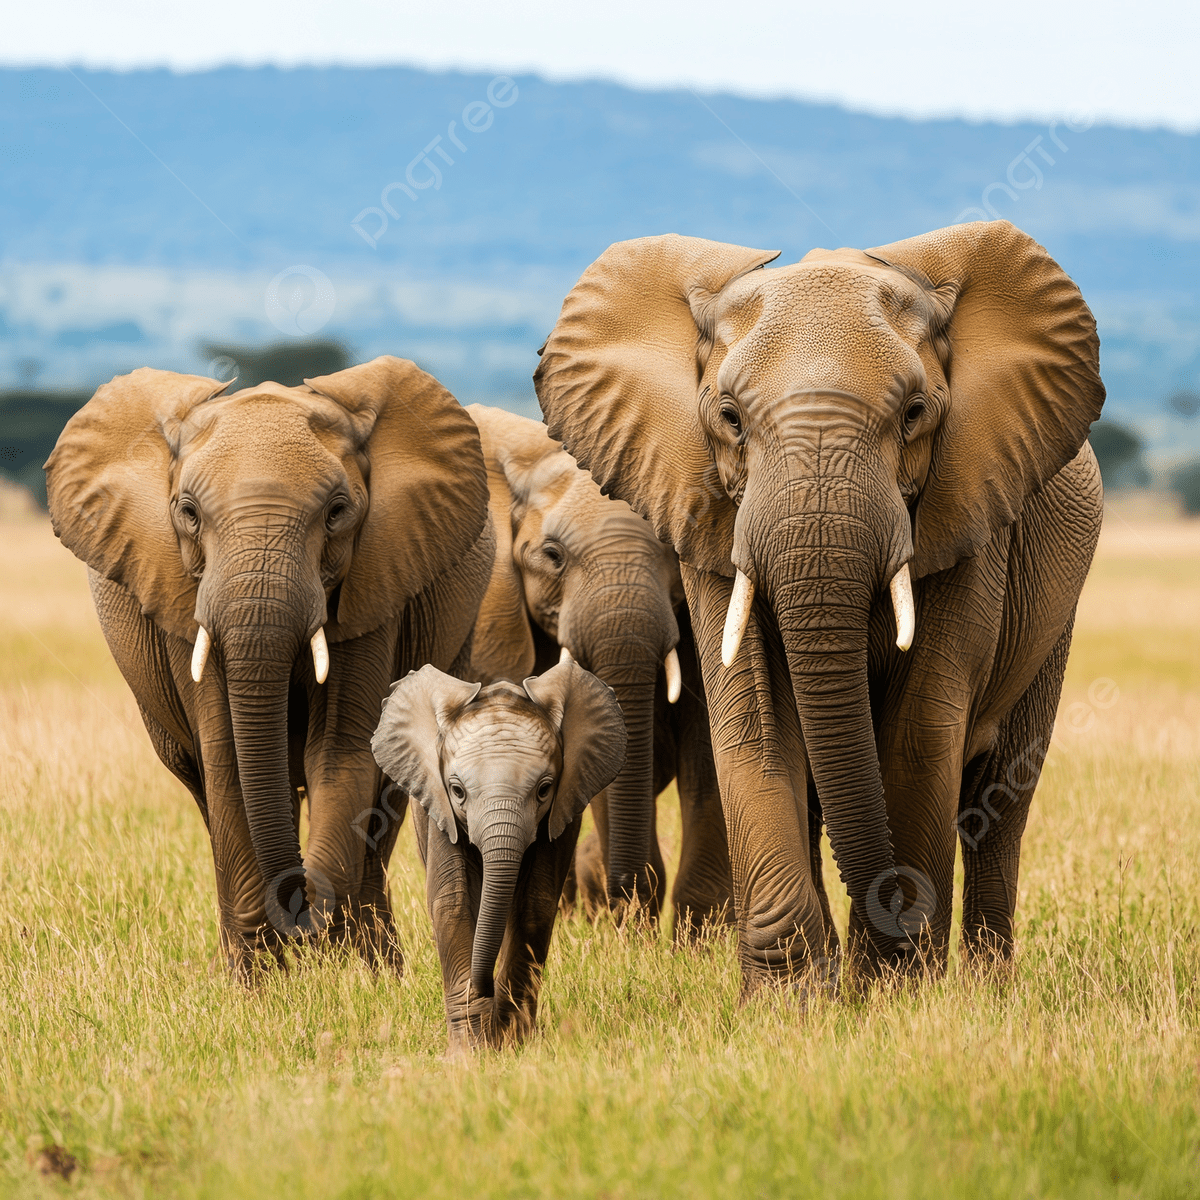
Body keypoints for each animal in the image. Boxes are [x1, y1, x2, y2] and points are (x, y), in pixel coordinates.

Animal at [44, 356, 494, 977]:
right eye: (188, 514)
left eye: (337, 513)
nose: (298, 911)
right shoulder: (182, 598)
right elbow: (226, 759)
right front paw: (261, 984)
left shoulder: (376, 584)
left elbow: (340, 750)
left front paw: (341, 976)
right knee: (205, 790)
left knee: (390, 794)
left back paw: (379, 966)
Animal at [371, 661, 626, 1048]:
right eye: (457, 791)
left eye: (544, 790)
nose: (485, 987)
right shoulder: (440, 813)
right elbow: (453, 903)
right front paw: (471, 1051)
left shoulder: (561, 815)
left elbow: (535, 904)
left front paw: (511, 1042)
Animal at [533, 220, 1106, 991]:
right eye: (729, 418)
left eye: (915, 414)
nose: (894, 918)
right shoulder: (710, 511)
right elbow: (753, 721)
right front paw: (791, 996)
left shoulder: (972, 510)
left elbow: (920, 728)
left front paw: (898, 990)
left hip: (1054, 617)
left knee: (1000, 798)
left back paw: (987, 985)